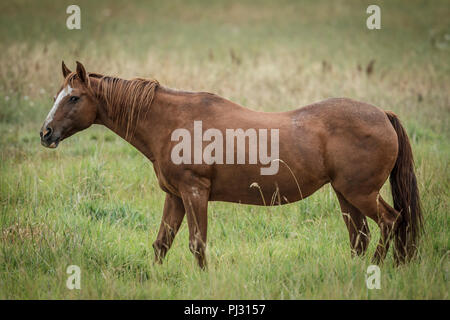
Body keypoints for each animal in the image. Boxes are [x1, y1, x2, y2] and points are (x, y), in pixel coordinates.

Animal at [41, 61, 422, 268]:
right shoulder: (175, 196)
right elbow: (162, 243)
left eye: (74, 98)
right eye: (57, 96)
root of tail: (382, 114)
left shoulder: (194, 192)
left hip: (361, 194)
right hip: (345, 194)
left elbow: (197, 244)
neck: (172, 122)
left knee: (391, 221)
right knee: (360, 237)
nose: (45, 133)